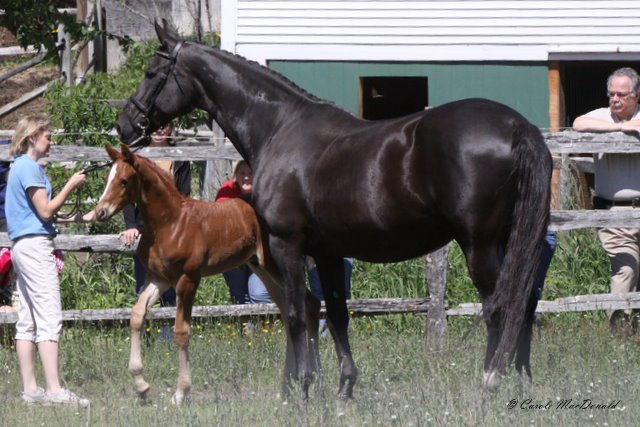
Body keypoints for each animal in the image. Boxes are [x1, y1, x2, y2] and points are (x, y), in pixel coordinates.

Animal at [117, 20, 552, 402]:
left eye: (152, 72)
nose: (125, 125)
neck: (280, 127)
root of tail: (518, 126)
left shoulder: (288, 246)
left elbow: (295, 315)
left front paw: (300, 388)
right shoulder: (327, 252)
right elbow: (338, 314)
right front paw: (344, 386)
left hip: (479, 244)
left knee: (500, 307)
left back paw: (491, 380)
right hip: (514, 240)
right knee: (526, 304)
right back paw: (522, 381)